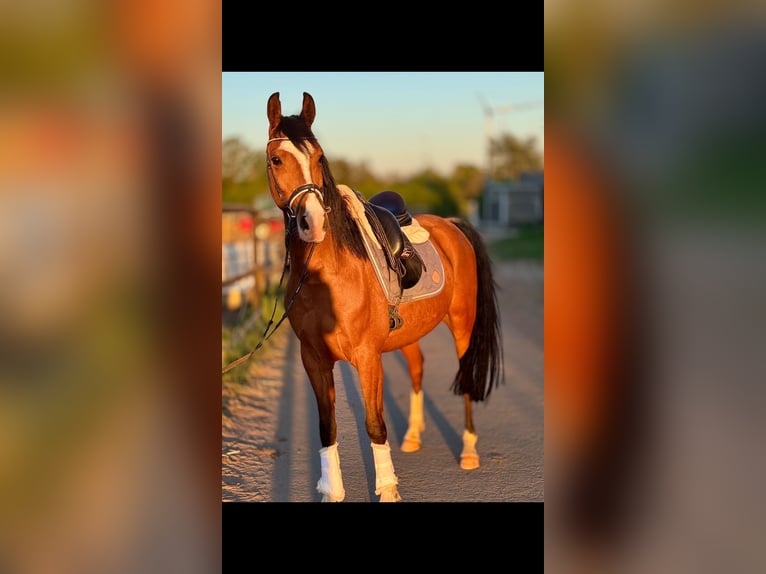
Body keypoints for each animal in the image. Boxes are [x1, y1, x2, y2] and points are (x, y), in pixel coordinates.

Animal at [264, 91, 504, 501]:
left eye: (319, 158)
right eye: (276, 159)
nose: (313, 223)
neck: (330, 274)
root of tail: (452, 224)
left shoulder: (366, 356)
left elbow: (374, 424)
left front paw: (388, 489)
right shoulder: (314, 358)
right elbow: (327, 427)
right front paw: (332, 492)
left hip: (463, 324)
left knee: (467, 377)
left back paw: (469, 452)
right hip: (408, 334)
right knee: (418, 367)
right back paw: (413, 436)